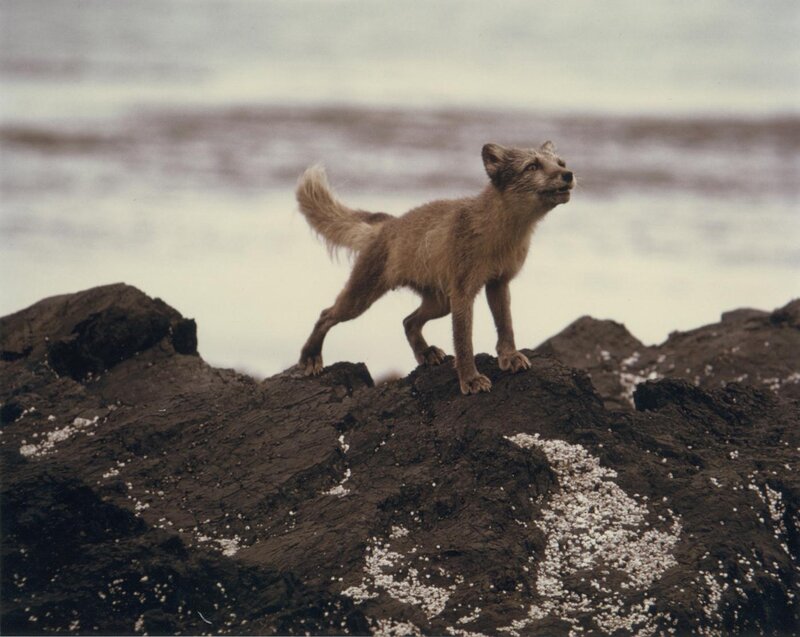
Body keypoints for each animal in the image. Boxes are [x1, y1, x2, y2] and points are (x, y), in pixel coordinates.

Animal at [295, 141, 575, 395]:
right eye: (532, 166)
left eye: (560, 163)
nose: (569, 174)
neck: (500, 234)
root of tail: (389, 223)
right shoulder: (463, 292)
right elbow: (464, 342)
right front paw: (470, 380)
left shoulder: (498, 282)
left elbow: (505, 326)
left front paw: (510, 357)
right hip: (362, 298)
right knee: (326, 314)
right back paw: (310, 357)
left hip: (440, 303)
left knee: (408, 321)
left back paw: (426, 353)